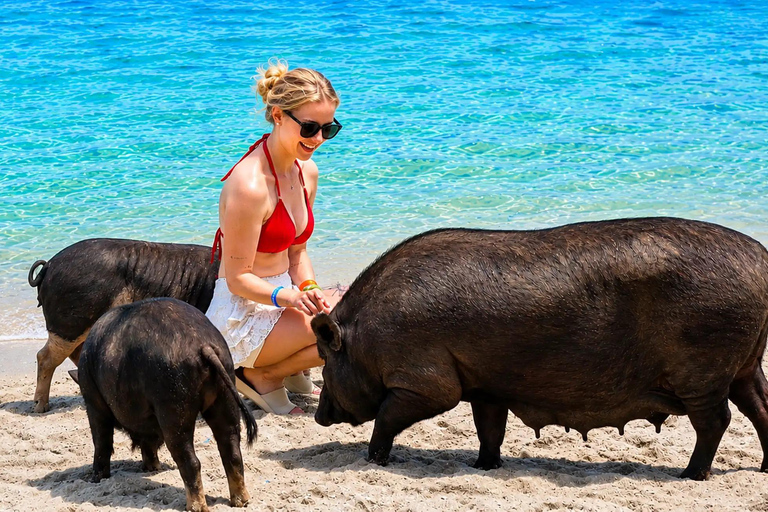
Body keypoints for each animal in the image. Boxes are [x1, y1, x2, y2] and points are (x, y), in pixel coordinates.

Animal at [78, 297, 256, 512]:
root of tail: (204, 345)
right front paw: (154, 468)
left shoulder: (94, 401)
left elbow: (101, 440)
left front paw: (95, 479)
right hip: (225, 393)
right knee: (231, 448)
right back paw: (241, 501)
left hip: (172, 404)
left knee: (190, 459)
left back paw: (195, 507)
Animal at [312, 217, 768, 481]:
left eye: (325, 359)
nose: (318, 416)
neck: (365, 338)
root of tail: (761, 260)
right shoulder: (486, 386)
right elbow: (489, 428)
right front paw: (482, 466)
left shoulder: (426, 381)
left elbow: (389, 415)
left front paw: (373, 460)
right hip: (746, 364)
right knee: (759, 407)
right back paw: (761, 468)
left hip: (704, 368)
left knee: (717, 420)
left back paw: (689, 475)